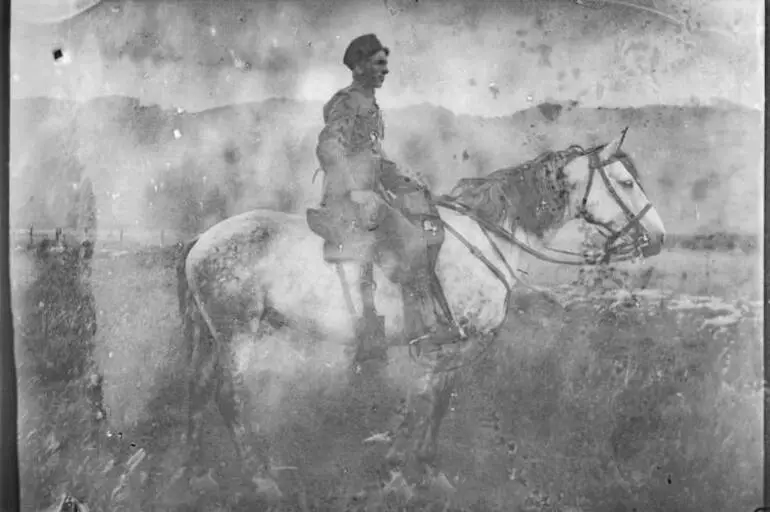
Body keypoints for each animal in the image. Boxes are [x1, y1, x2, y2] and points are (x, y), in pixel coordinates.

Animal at [176, 130, 664, 502]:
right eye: (625, 181)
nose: (658, 237)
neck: (484, 236)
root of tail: (203, 239)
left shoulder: (451, 346)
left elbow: (436, 403)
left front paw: (426, 471)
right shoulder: (449, 345)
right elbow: (424, 403)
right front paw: (398, 472)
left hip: (211, 337)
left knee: (197, 393)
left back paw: (198, 475)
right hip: (237, 334)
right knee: (229, 398)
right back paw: (262, 480)